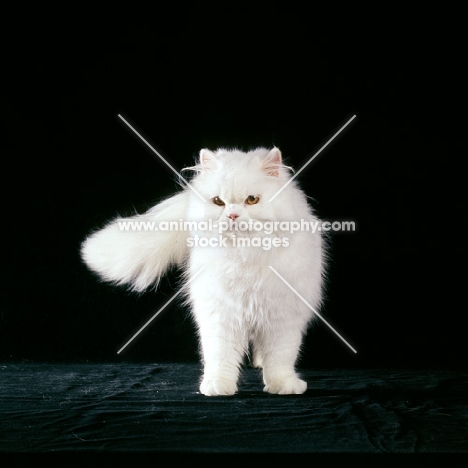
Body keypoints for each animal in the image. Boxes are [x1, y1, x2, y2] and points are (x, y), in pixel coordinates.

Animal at [80, 147, 326, 394]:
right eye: (218, 202)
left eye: (252, 200)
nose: (233, 215)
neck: (244, 255)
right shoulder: (219, 313)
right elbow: (220, 355)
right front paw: (218, 386)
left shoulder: (283, 317)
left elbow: (280, 358)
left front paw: (283, 386)